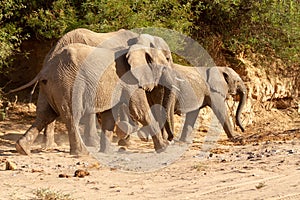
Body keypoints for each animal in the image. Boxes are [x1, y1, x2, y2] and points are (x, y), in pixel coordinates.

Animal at [15, 31, 175, 156]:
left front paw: (107, 152)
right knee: (72, 115)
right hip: (68, 83)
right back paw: (82, 152)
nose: (171, 140)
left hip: (49, 87)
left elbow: (109, 115)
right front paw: (163, 148)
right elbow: (141, 111)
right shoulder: (129, 79)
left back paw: (22, 148)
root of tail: (46, 69)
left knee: (45, 115)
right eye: (166, 61)